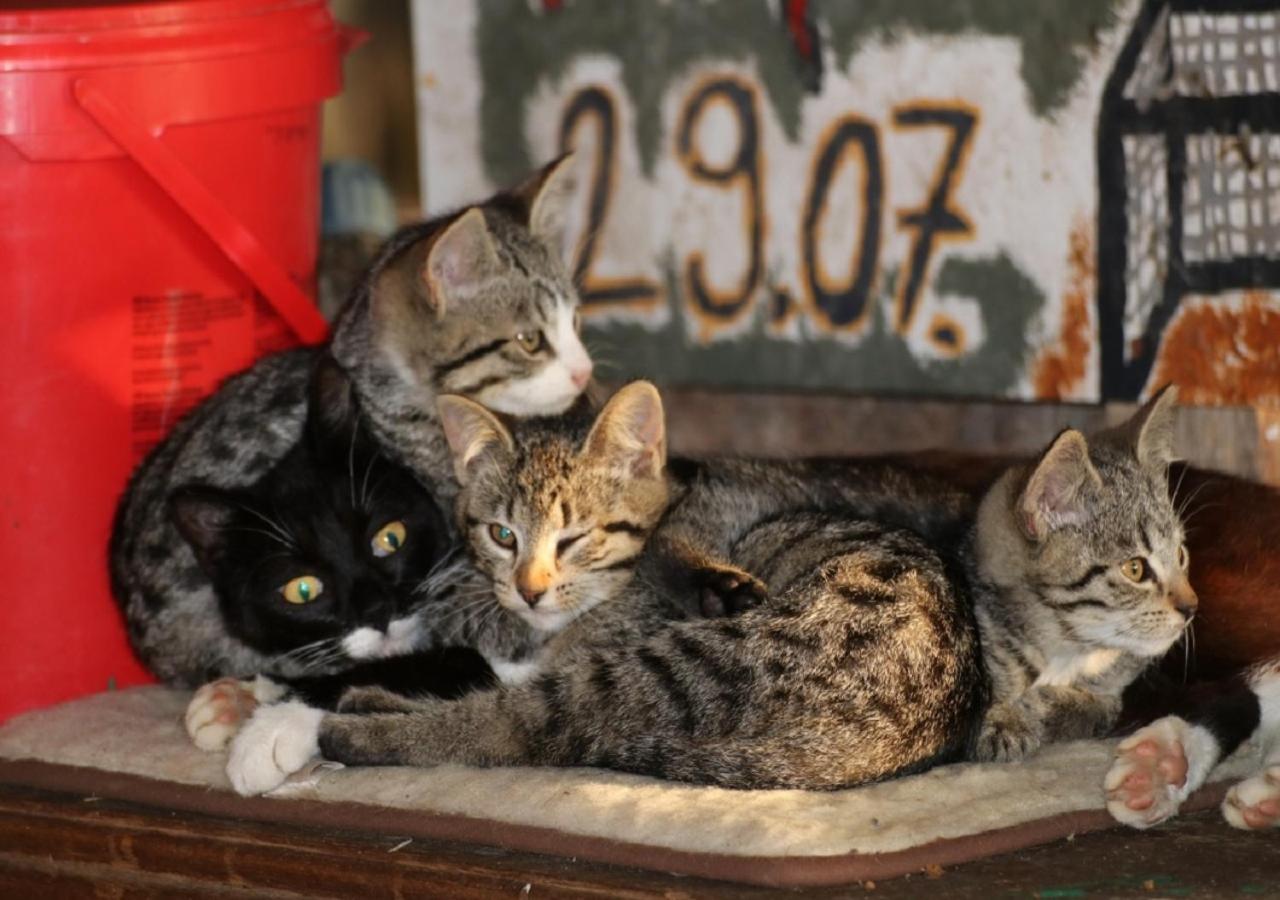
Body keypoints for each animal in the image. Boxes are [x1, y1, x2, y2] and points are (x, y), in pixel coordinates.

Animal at [220, 386, 1187, 793]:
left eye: (572, 537)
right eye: (500, 533)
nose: (528, 590)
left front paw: (283, 715)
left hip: (653, 673)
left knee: (510, 730)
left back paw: (329, 727)